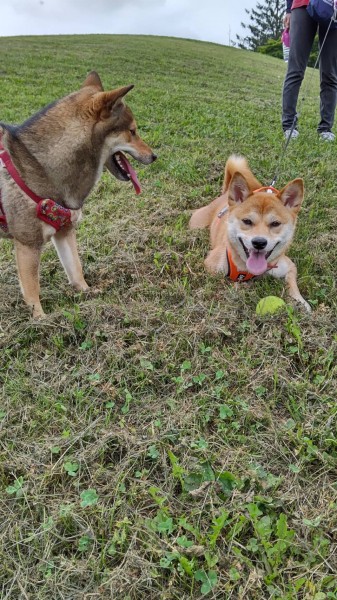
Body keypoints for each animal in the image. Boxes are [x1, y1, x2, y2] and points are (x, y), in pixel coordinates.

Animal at [0, 70, 156, 318]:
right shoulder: (27, 244)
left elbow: (76, 269)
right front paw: (41, 320)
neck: (42, 163)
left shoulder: (65, 231)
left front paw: (88, 294)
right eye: (132, 131)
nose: (154, 156)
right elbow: (32, 289)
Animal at [189, 152, 310, 312]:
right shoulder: (211, 267)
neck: (247, 270)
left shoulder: (288, 266)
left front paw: (300, 302)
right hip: (196, 223)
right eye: (247, 221)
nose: (259, 242)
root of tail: (226, 193)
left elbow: (292, 284)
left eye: (275, 224)